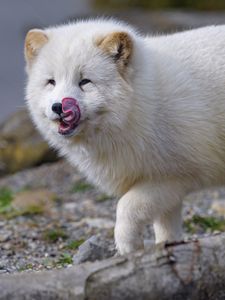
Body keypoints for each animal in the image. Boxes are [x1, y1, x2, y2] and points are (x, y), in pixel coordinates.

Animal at [25, 19, 225, 253]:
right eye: (51, 82)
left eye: (85, 81)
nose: (58, 107)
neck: (144, 105)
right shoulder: (168, 188)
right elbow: (166, 227)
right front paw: (165, 248)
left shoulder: (173, 176)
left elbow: (125, 208)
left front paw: (129, 247)